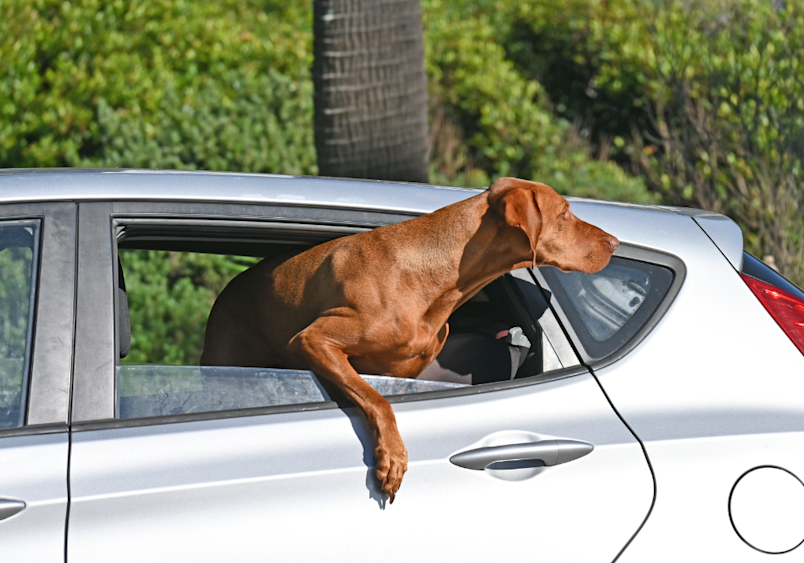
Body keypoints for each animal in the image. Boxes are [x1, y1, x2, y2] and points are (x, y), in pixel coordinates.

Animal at [201, 176, 616, 502]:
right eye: (564, 213)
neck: (433, 277)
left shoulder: (404, 375)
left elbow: (384, 397)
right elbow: (377, 401)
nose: (613, 242)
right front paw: (393, 457)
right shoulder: (313, 340)